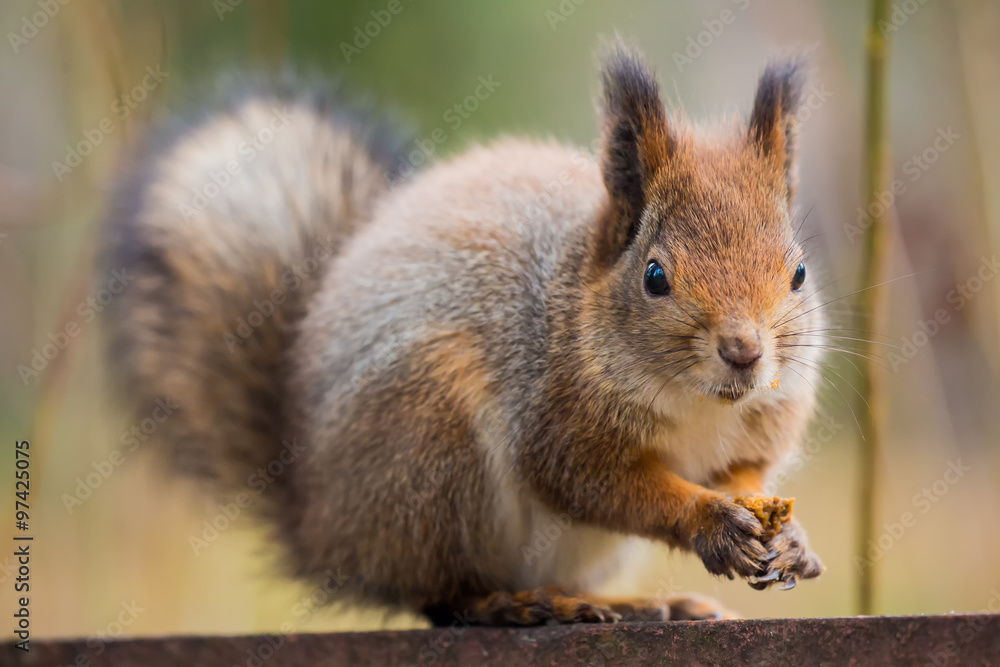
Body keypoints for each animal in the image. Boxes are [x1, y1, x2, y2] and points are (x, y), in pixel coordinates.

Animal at [102, 42, 825, 626]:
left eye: (798, 272)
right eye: (654, 276)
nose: (744, 352)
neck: (699, 404)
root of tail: (321, 526)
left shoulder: (753, 430)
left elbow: (743, 472)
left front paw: (787, 536)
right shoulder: (555, 417)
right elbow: (591, 483)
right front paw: (711, 522)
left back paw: (640, 604)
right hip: (435, 450)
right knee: (442, 594)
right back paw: (514, 604)